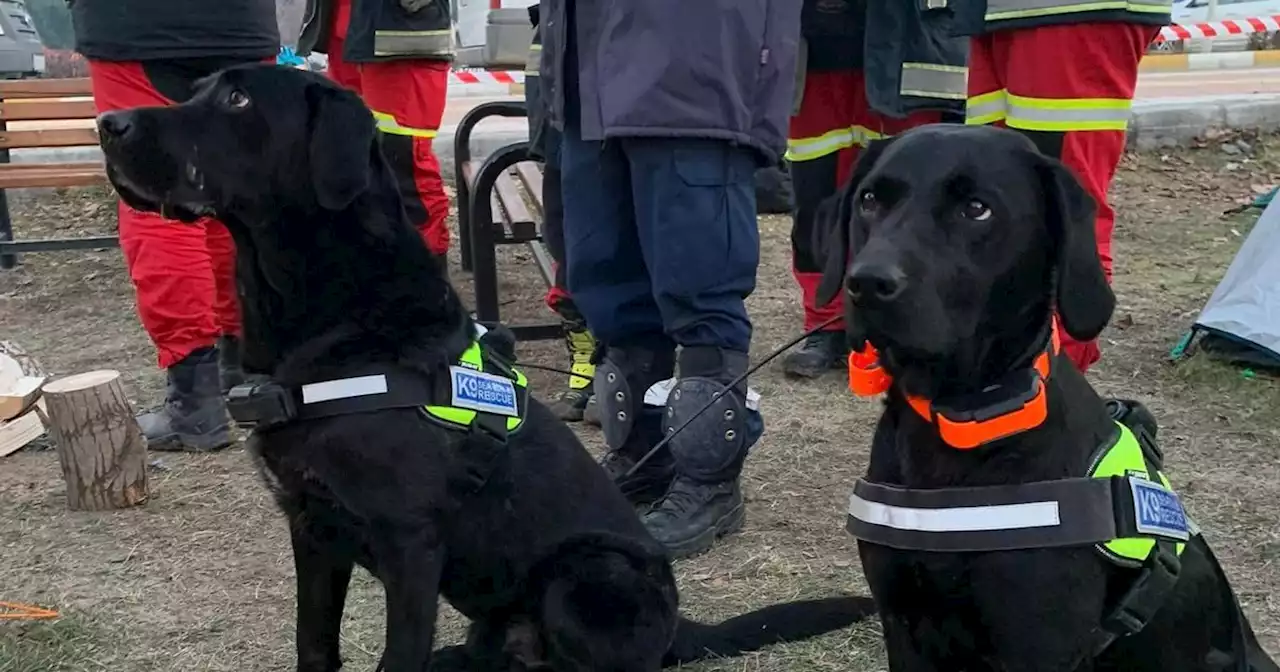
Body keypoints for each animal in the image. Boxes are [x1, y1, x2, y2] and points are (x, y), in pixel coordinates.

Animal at [94, 62, 880, 670]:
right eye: (199, 90)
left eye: (236, 99)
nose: (110, 124)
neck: (335, 315)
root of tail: (680, 623)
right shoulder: (310, 530)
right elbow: (313, 645)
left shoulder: (408, 539)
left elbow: (397, 657)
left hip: (585, 572)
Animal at [814, 122, 1274, 665]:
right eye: (869, 200)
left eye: (976, 209)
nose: (866, 282)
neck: (959, 425)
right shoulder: (902, 626)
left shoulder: (1037, 644)